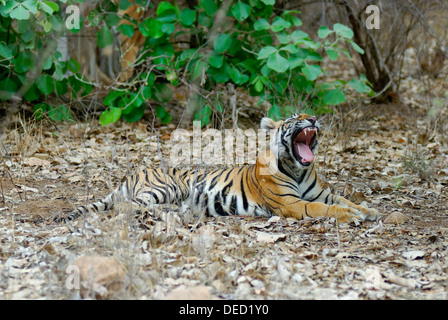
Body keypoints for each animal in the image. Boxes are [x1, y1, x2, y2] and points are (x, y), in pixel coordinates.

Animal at [54, 114, 380, 224]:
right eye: (295, 118)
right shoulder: (292, 203)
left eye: (309, 115)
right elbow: (327, 209)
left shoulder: (319, 194)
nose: (312, 120)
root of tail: (133, 173)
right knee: (126, 207)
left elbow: (341, 199)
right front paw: (353, 216)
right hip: (169, 187)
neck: (298, 169)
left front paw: (367, 210)